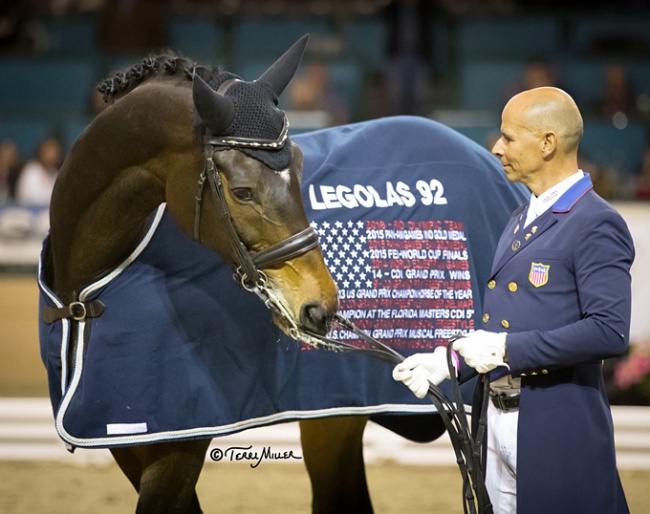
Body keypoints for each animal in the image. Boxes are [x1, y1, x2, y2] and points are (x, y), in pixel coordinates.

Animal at [40, 35, 336, 508]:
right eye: (242, 191)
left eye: (301, 166)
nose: (320, 304)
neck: (79, 298)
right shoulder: (124, 441)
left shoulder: (179, 441)